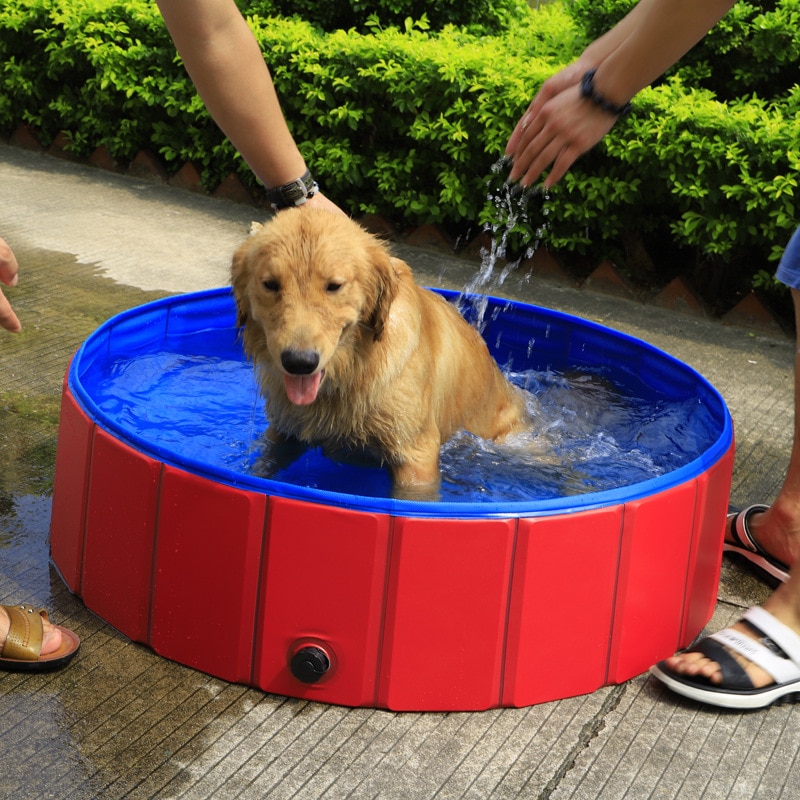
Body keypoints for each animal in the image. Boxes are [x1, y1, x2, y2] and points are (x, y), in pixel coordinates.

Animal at [233, 208, 532, 494]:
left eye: (334, 286)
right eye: (270, 284)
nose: (299, 362)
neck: (352, 372)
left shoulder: (416, 458)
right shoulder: (283, 432)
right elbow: (261, 467)